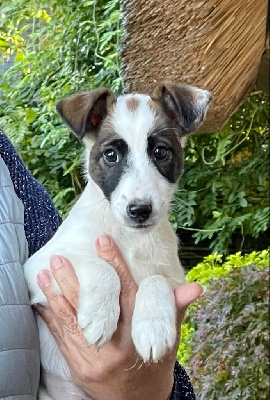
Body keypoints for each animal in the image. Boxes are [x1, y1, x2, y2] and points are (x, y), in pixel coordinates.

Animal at [24, 79, 212, 398]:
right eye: (111, 155)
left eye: (160, 152)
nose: (139, 210)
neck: (131, 238)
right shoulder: (39, 266)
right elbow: (101, 266)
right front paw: (99, 315)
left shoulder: (176, 279)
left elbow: (155, 279)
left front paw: (152, 327)